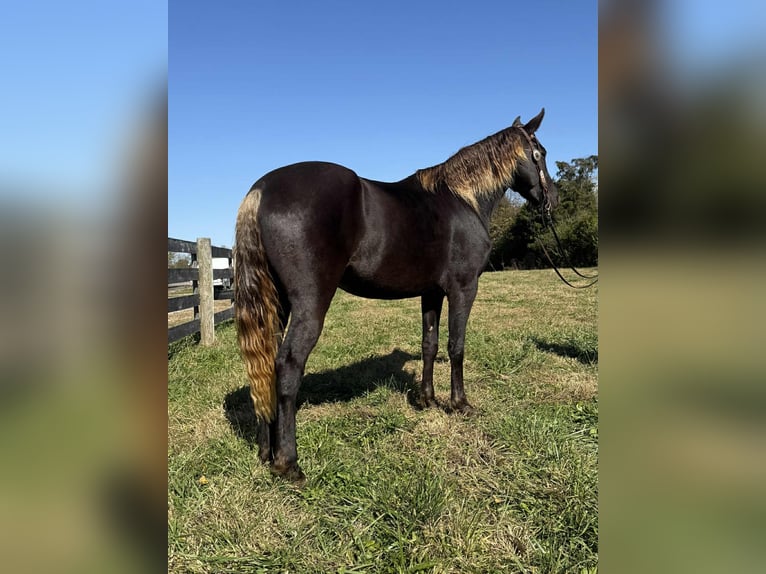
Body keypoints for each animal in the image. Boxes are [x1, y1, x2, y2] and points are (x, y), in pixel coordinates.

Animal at [234, 108, 559, 482]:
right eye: (541, 153)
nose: (552, 200)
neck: (463, 200)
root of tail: (261, 190)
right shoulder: (463, 289)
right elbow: (457, 346)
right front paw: (460, 404)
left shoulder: (431, 293)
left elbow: (430, 344)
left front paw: (427, 400)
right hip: (310, 303)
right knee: (287, 365)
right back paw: (288, 462)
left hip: (276, 304)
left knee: (265, 363)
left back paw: (265, 451)